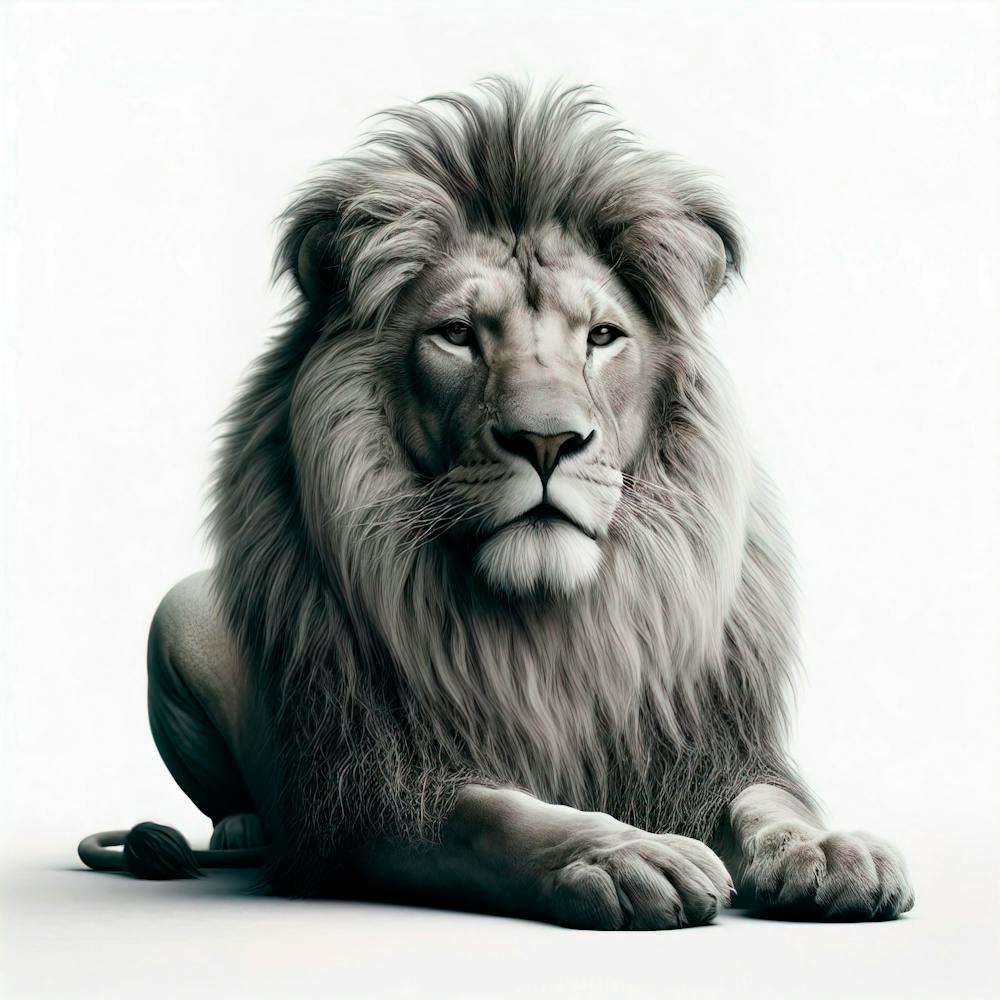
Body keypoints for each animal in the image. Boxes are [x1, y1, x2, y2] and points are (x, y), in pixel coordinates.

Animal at [79, 79, 914, 929]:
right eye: (456, 335)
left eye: (603, 337)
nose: (546, 441)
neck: (547, 629)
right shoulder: (368, 798)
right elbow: (493, 817)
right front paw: (627, 855)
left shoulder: (703, 751)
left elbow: (766, 803)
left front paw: (828, 850)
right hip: (174, 617)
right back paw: (242, 826)